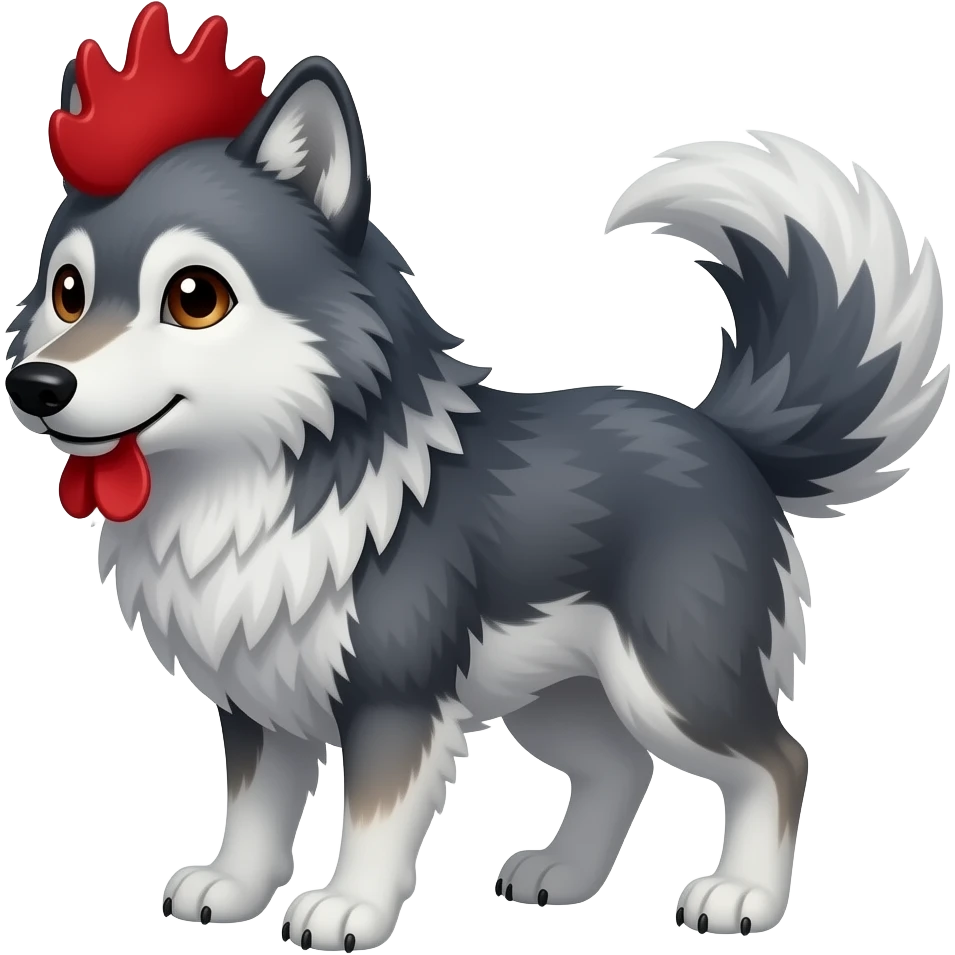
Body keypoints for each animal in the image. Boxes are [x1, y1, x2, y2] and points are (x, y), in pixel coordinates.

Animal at [4, 2, 947, 949]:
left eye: (195, 296)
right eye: (69, 290)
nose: (36, 387)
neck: (253, 483)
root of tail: (720, 433)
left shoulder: (394, 697)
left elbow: (373, 815)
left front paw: (349, 906)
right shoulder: (257, 697)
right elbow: (255, 810)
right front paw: (232, 888)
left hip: (672, 678)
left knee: (777, 761)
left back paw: (742, 893)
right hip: (558, 695)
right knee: (621, 765)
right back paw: (563, 874)